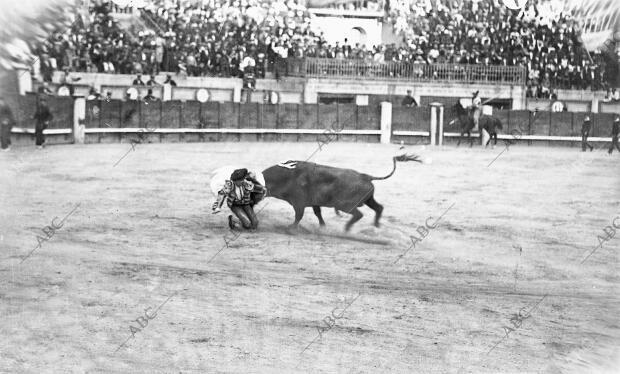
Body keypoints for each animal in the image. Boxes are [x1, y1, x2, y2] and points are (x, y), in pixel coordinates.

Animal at [262, 153, 422, 229]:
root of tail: (365, 176)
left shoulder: (299, 202)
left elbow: (299, 216)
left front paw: (291, 228)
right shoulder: (314, 202)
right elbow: (317, 213)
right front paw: (322, 226)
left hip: (345, 205)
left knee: (359, 214)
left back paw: (347, 228)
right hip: (368, 199)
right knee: (379, 208)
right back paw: (376, 225)